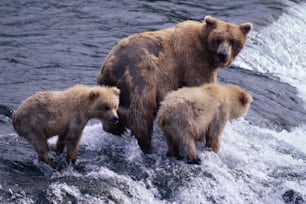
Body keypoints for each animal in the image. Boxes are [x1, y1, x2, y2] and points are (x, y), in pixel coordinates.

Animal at [97, 15, 252, 153]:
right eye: (218, 39)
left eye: (233, 40)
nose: (223, 55)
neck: (207, 52)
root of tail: (110, 66)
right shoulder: (194, 64)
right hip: (141, 77)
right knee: (141, 113)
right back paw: (147, 145)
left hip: (109, 86)